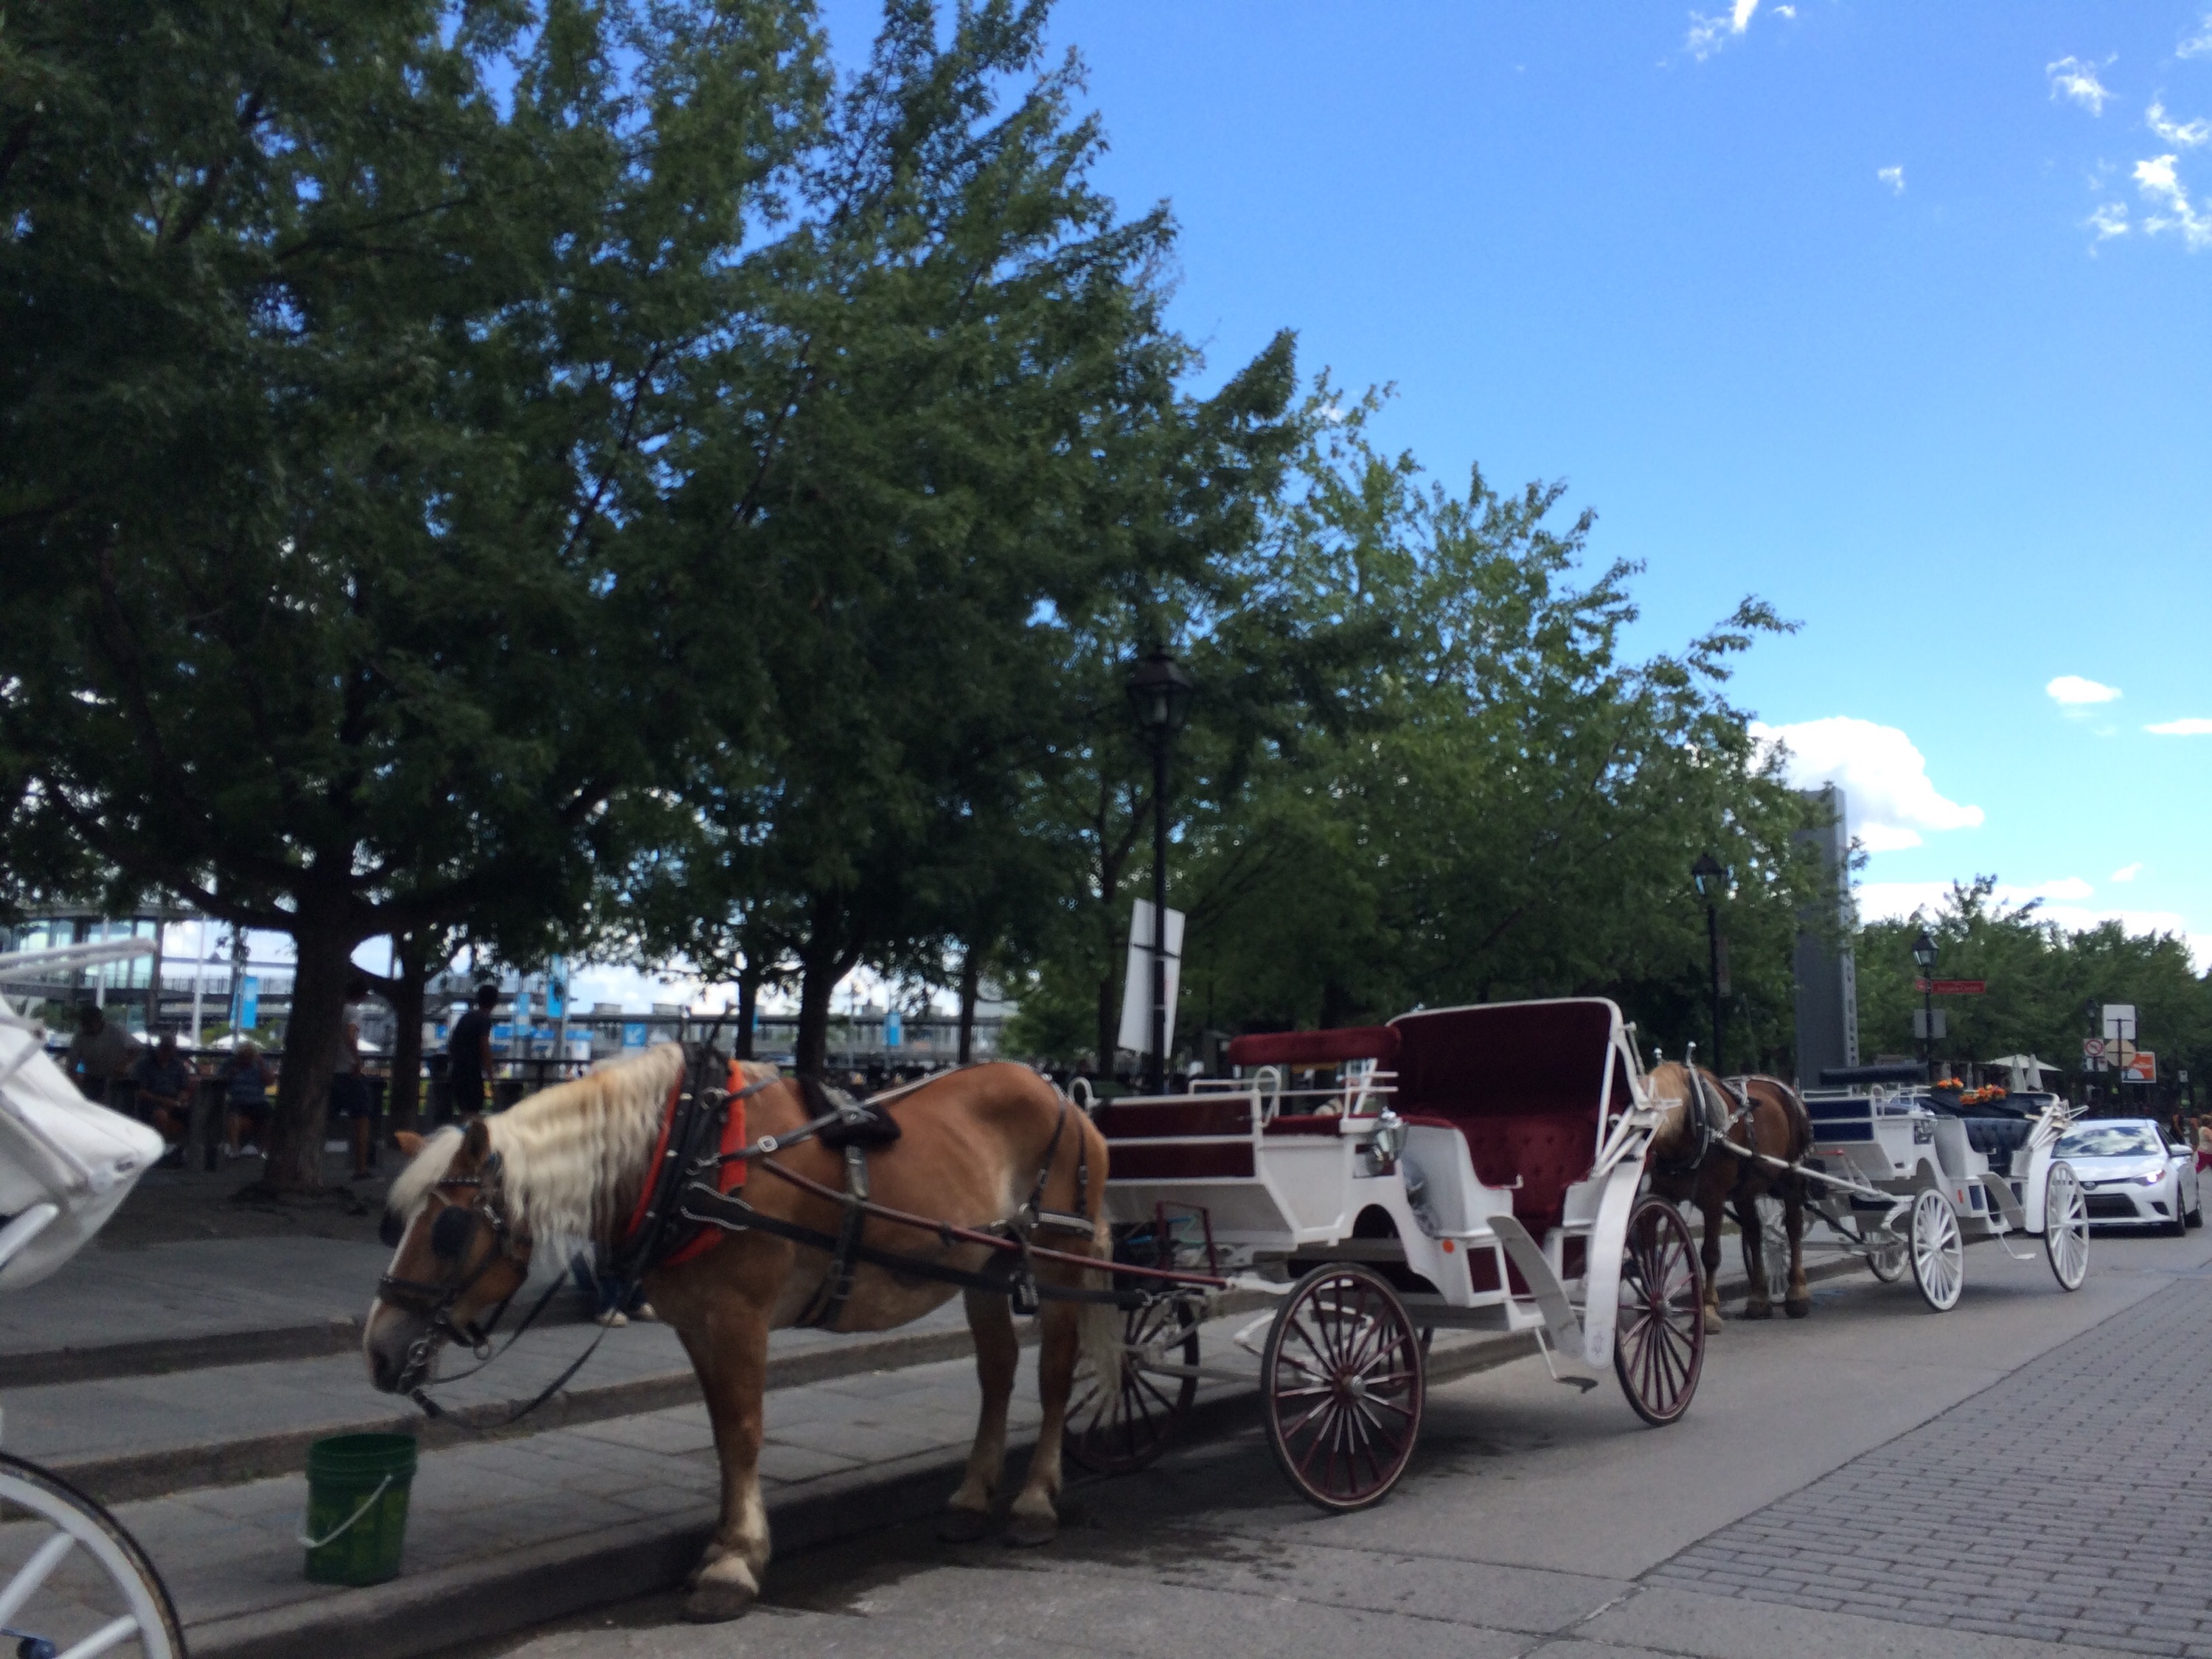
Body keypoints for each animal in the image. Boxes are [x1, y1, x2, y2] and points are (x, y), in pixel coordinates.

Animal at [362, 1045, 1119, 1621]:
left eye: (447, 1229)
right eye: (398, 1224)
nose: (379, 1349)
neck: (684, 1155)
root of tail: (1064, 1097)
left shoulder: (739, 1316)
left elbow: (744, 1430)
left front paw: (733, 1564)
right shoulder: (699, 1323)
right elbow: (723, 1435)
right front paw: (726, 1545)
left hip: (1060, 1259)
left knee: (1054, 1372)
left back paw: (1033, 1500)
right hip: (986, 1269)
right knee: (997, 1372)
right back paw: (971, 1497)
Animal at [1642, 1060, 1814, 1329]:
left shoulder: (1713, 1198)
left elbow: (1710, 1254)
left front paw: (1708, 1309)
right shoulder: (1661, 1192)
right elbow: (1647, 1240)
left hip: (1791, 1177)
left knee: (1793, 1228)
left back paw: (1797, 1293)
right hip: (1746, 1187)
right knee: (1753, 1231)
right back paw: (1759, 1299)